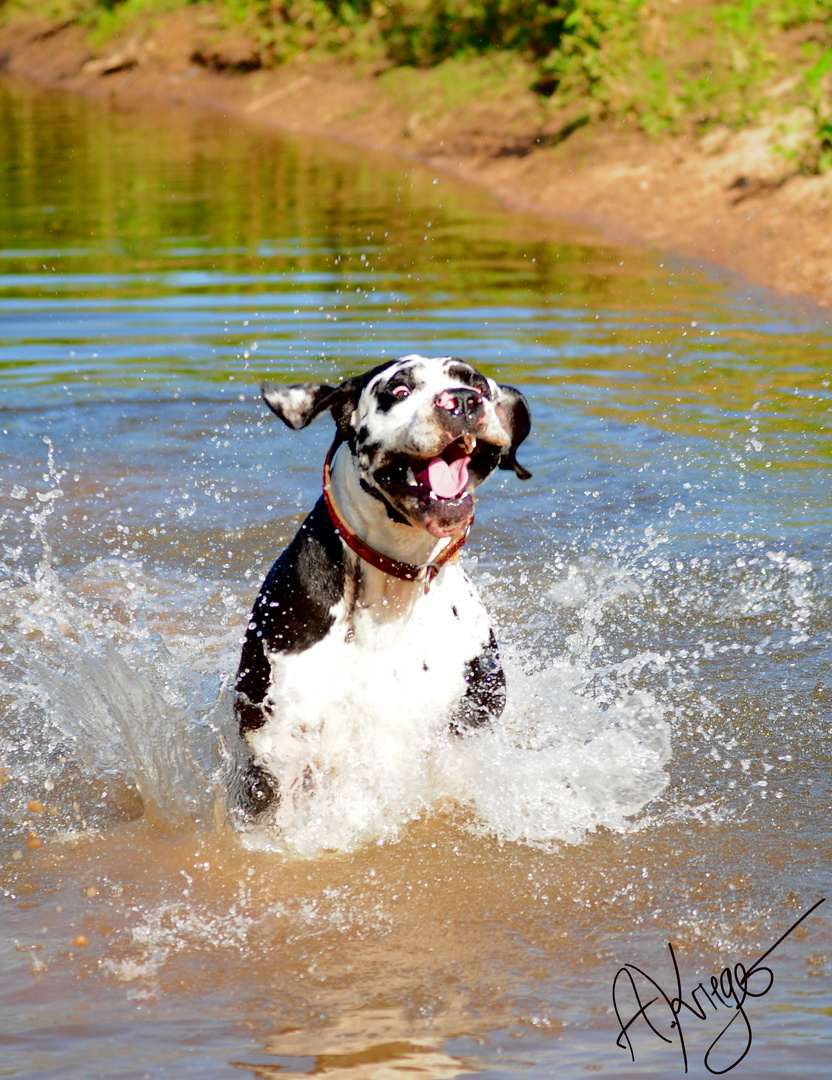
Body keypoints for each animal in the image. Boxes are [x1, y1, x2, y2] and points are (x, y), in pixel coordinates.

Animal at [231, 354, 531, 816]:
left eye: (476, 384)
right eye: (399, 390)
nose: (462, 401)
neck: (395, 582)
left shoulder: (462, 731)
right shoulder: (278, 753)